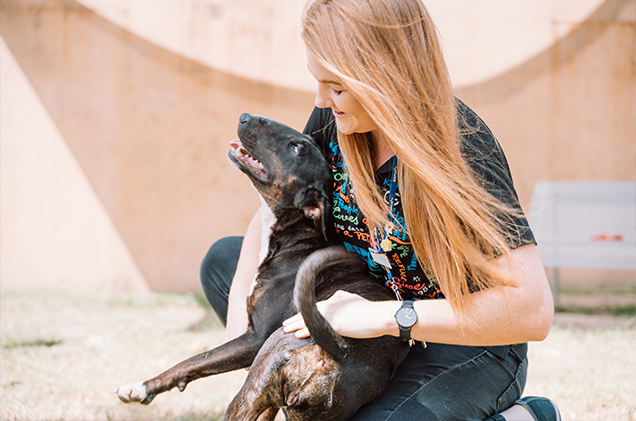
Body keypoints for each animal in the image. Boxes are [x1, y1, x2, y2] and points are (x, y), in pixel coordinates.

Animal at [117, 113, 410, 418]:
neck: (297, 236)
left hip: (258, 374)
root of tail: (338, 352)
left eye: (296, 148)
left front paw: (140, 388)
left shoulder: (254, 339)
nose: (244, 117)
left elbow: (195, 360)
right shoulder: (272, 396)